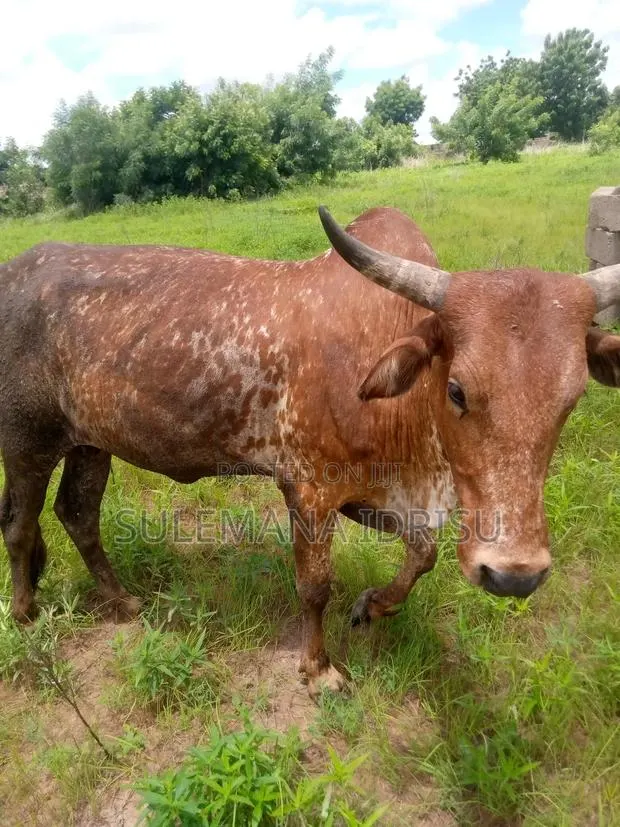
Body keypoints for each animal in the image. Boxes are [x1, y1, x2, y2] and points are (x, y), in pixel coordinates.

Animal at [0, 206, 619, 698]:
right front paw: (319, 669)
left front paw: (374, 606)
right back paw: (26, 615)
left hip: (89, 443)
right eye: (458, 390)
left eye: (571, 398)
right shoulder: (311, 490)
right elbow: (315, 586)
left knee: (78, 514)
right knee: (20, 524)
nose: (515, 575)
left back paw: (121, 603)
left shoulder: (381, 493)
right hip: (27, 440)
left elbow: (423, 554)